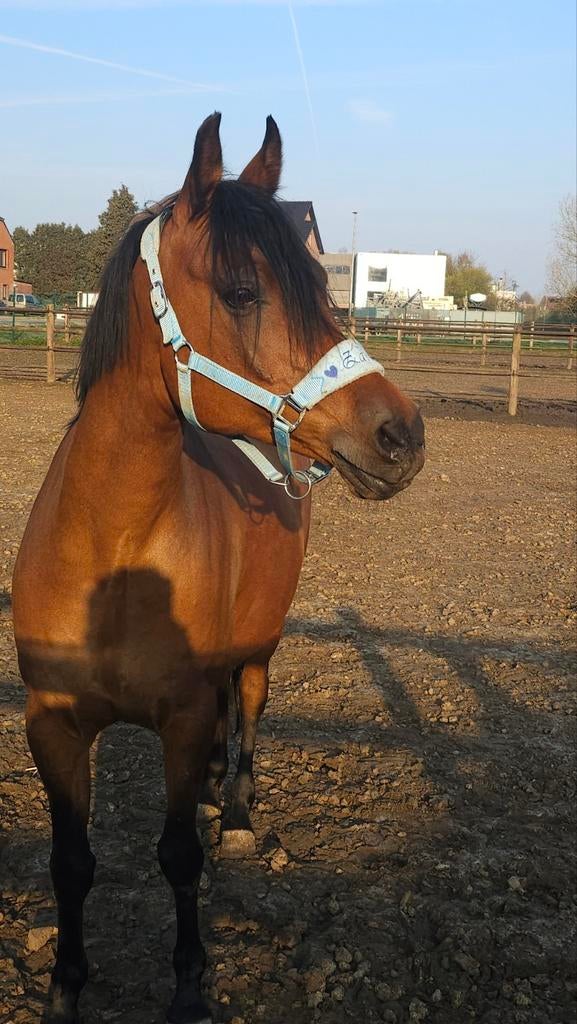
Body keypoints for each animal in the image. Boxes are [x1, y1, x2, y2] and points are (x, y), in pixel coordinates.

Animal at [12, 113, 425, 1024]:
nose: (401, 435)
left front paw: (190, 983)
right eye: (242, 291)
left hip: (259, 650)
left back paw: (231, 808)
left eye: (321, 286)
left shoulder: (182, 713)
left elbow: (177, 857)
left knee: (250, 712)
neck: (113, 551)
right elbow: (70, 861)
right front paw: (65, 983)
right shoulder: (53, 724)